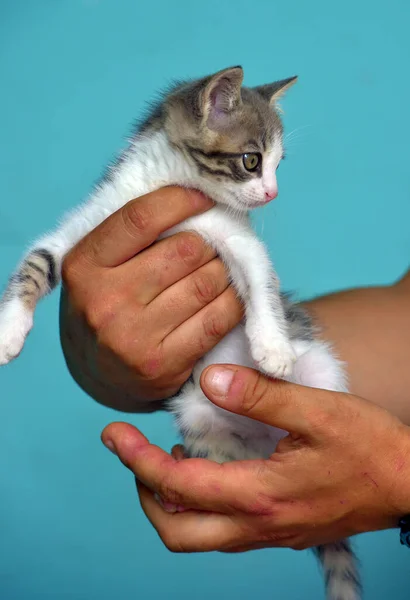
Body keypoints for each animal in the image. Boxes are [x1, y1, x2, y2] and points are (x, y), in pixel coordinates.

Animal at [0, 67, 358, 600]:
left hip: (321, 369)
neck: (163, 180)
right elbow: (35, 263)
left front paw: (271, 347)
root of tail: (268, 441)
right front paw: (7, 331)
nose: (272, 193)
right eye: (252, 161)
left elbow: (262, 285)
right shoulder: (83, 229)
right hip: (199, 414)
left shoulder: (239, 241)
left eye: (279, 165)